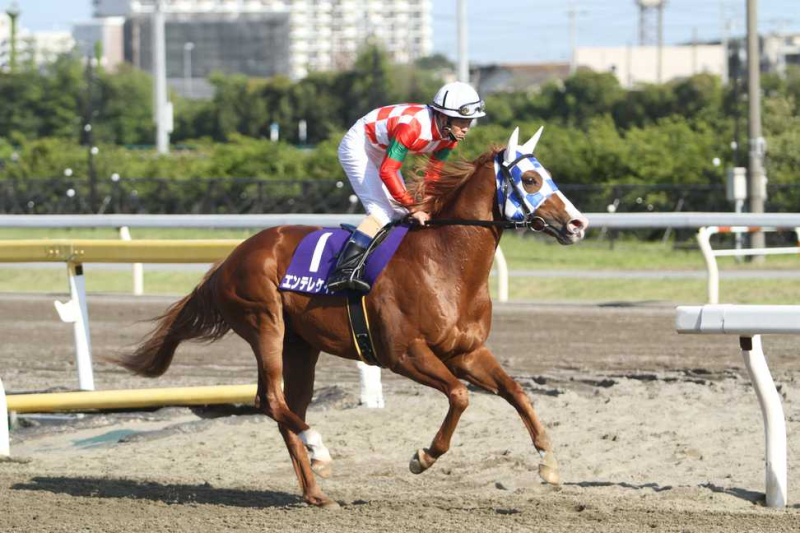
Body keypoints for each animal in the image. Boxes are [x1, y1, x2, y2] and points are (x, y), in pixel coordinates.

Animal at [117, 124, 588, 508]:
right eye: (530, 179)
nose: (578, 224)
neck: (444, 261)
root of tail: (229, 259)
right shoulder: (403, 353)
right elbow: (459, 395)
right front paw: (423, 457)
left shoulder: (467, 351)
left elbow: (516, 392)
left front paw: (548, 463)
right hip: (265, 323)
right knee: (270, 399)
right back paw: (320, 450)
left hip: (300, 345)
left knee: (287, 406)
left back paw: (315, 489)